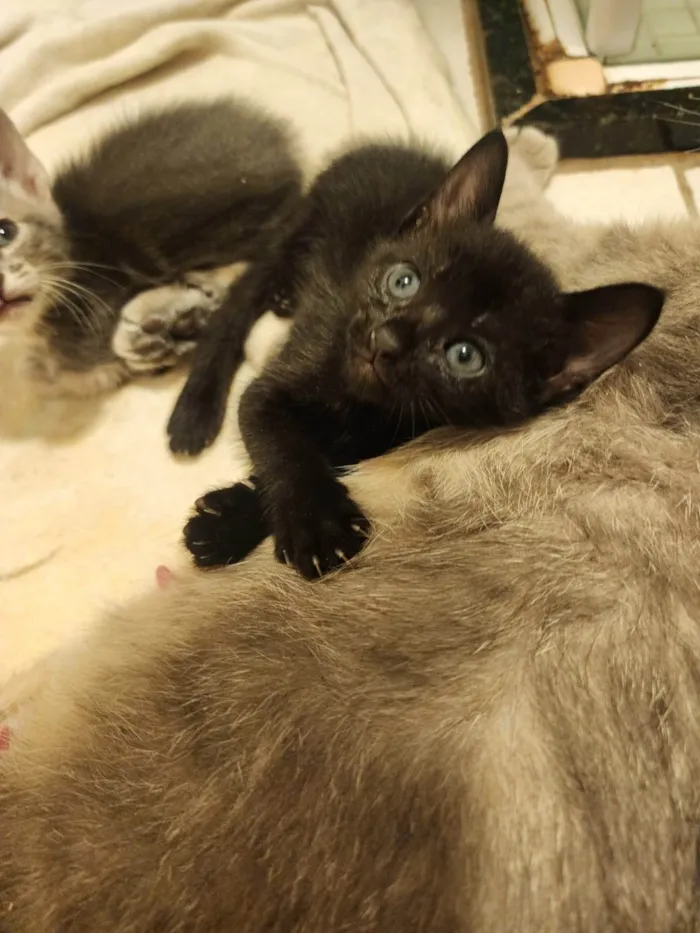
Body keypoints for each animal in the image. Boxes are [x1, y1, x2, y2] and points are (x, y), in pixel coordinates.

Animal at [183, 130, 664, 576]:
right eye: (404, 281)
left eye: (466, 356)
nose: (386, 340)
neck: (363, 407)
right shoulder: (299, 361)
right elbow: (279, 441)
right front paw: (314, 526)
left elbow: (323, 453)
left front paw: (228, 519)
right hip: (297, 226)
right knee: (237, 305)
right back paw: (192, 414)